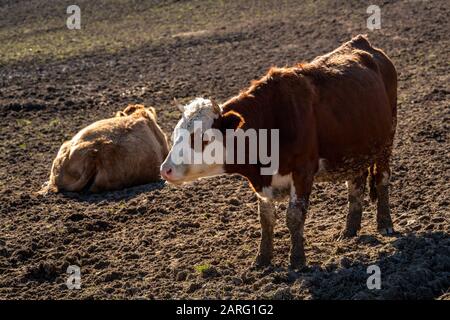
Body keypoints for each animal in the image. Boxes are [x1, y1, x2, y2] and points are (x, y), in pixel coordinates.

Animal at [160, 35, 396, 268]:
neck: (271, 124)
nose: (165, 170)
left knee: (382, 177)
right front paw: (262, 259)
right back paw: (349, 230)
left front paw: (297, 260)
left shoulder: (303, 172)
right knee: (356, 183)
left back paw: (385, 223)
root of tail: (363, 43)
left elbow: (294, 216)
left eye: (204, 138)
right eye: (175, 134)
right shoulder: (262, 182)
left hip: (387, 141)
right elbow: (266, 219)